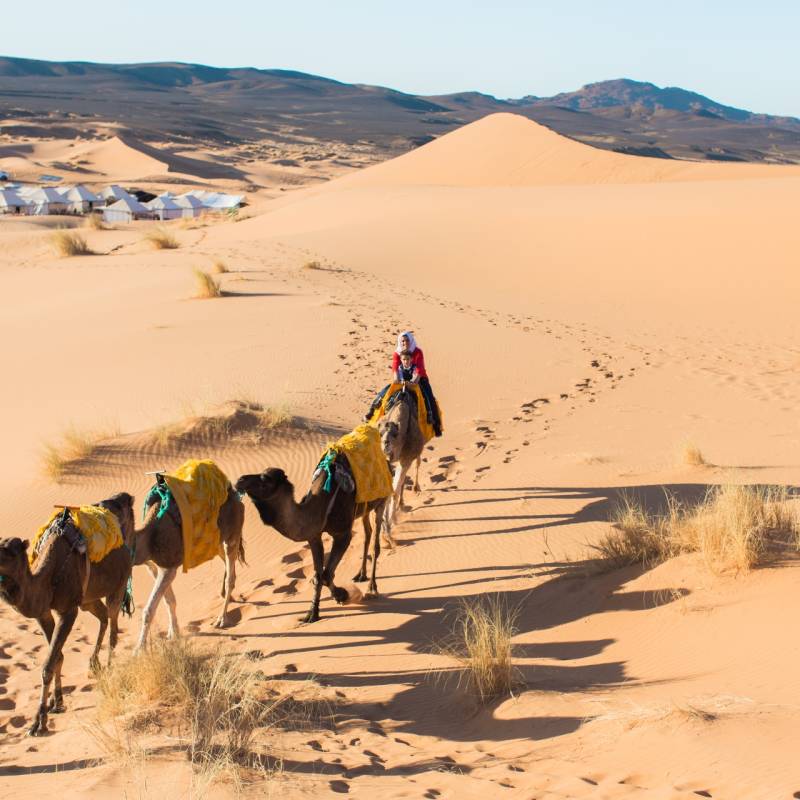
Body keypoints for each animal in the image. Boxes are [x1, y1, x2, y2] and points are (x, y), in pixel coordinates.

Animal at [0, 492, 135, 736]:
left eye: (10, 551)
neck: (47, 578)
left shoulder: (68, 610)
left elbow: (48, 664)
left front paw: (38, 722)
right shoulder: (43, 612)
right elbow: (58, 657)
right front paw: (57, 702)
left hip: (119, 583)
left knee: (113, 625)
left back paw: (109, 669)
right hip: (89, 598)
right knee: (103, 617)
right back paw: (94, 664)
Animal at [132, 480, 244, 652]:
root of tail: (236, 495)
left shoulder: (168, 566)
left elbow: (149, 610)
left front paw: (139, 650)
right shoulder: (154, 566)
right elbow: (169, 600)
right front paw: (173, 633)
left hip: (232, 534)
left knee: (230, 575)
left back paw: (222, 619)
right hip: (217, 542)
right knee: (229, 566)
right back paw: (228, 597)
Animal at [236, 459, 387, 623]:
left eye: (265, 479)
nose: (240, 480)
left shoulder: (343, 534)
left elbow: (326, 575)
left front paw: (342, 595)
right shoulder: (314, 537)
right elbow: (318, 576)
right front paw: (312, 614)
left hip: (382, 501)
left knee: (375, 541)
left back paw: (372, 587)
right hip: (365, 508)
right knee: (368, 532)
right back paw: (361, 575)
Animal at [377, 386, 425, 540]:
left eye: (394, 434)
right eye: (380, 433)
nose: (385, 444)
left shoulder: (406, 458)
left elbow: (395, 489)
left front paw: (390, 523)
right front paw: (386, 525)